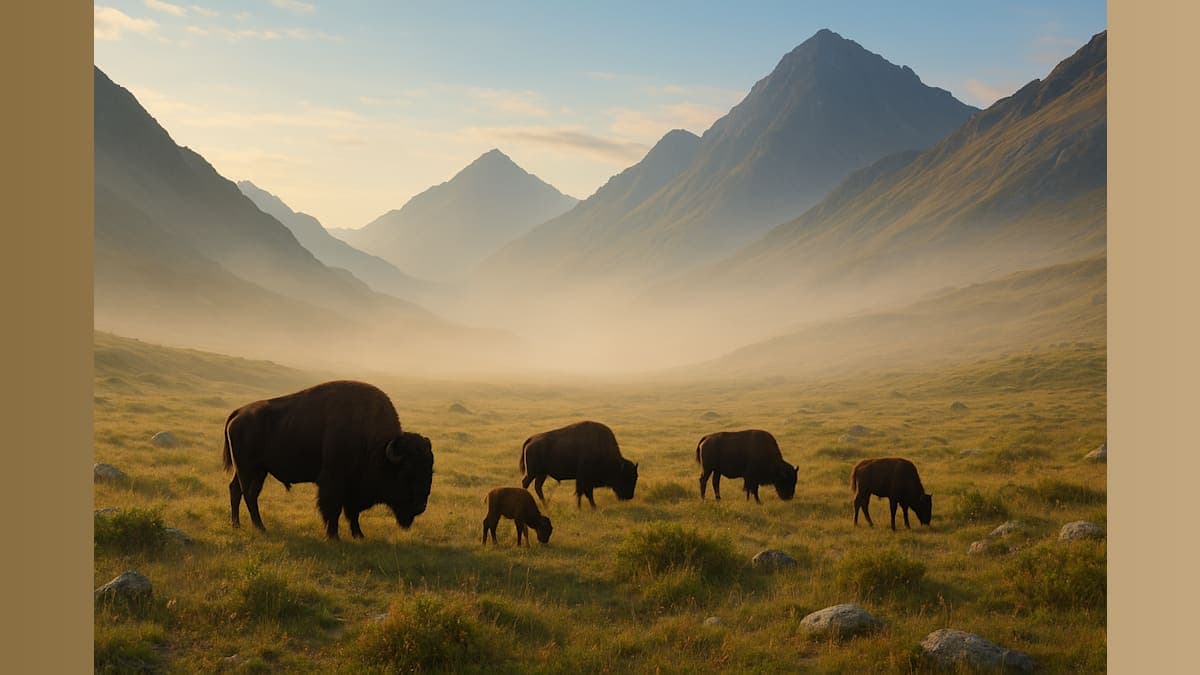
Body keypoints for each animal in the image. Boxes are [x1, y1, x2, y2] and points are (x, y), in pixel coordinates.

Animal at [221, 380, 434, 540]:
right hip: (249, 469)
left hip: (256, 470)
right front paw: (333, 536)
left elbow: (353, 513)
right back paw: (260, 527)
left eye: (430, 471)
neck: (378, 448)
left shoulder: (352, 488)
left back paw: (237, 525)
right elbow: (334, 509)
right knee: (249, 494)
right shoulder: (333, 481)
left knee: (236, 490)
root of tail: (238, 412)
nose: (420, 507)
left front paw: (359, 535)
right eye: (406, 473)